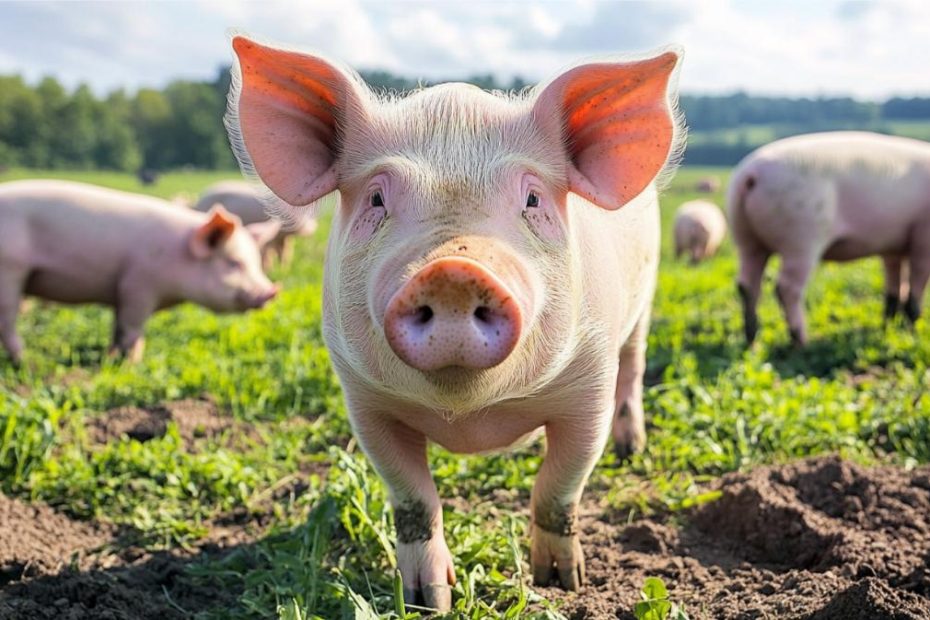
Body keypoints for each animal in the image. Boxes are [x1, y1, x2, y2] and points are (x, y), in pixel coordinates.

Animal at [0, 179, 280, 364]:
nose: (270, 292)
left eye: (256, 263)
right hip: (10, 271)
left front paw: (112, 358)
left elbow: (118, 328)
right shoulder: (137, 286)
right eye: (233, 263)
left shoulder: (121, 293)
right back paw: (25, 361)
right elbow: (133, 330)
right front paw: (131, 363)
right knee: (7, 322)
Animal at [225, 35, 680, 612]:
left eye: (532, 198)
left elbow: (561, 485)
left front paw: (563, 583)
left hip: (644, 303)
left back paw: (630, 447)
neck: (469, 415)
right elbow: (413, 500)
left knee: (634, 369)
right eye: (377, 198)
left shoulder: (588, 380)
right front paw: (427, 600)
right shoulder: (364, 399)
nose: (452, 272)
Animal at [728, 131, 928, 346]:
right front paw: (913, 333)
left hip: (746, 238)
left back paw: (752, 341)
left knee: (746, 285)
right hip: (801, 237)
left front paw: (887, 328)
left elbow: (895, 287)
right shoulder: (922, 236)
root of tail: (750, 175)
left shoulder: (893, 246)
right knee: (786, 288)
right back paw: (802, 342)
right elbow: (914, 290)